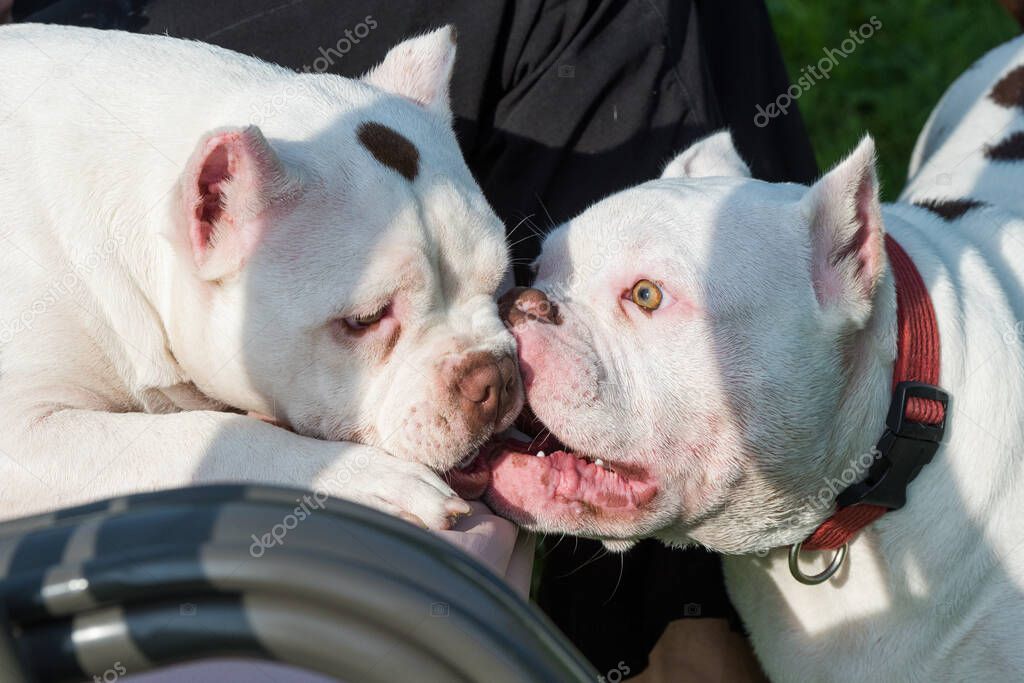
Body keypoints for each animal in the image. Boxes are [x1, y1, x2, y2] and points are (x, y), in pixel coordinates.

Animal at [0, 25, 524, 528]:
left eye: (500, 280)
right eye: (366, 319)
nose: (494, 375)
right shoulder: (22, 440)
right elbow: (210, 434)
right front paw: (375, 479)